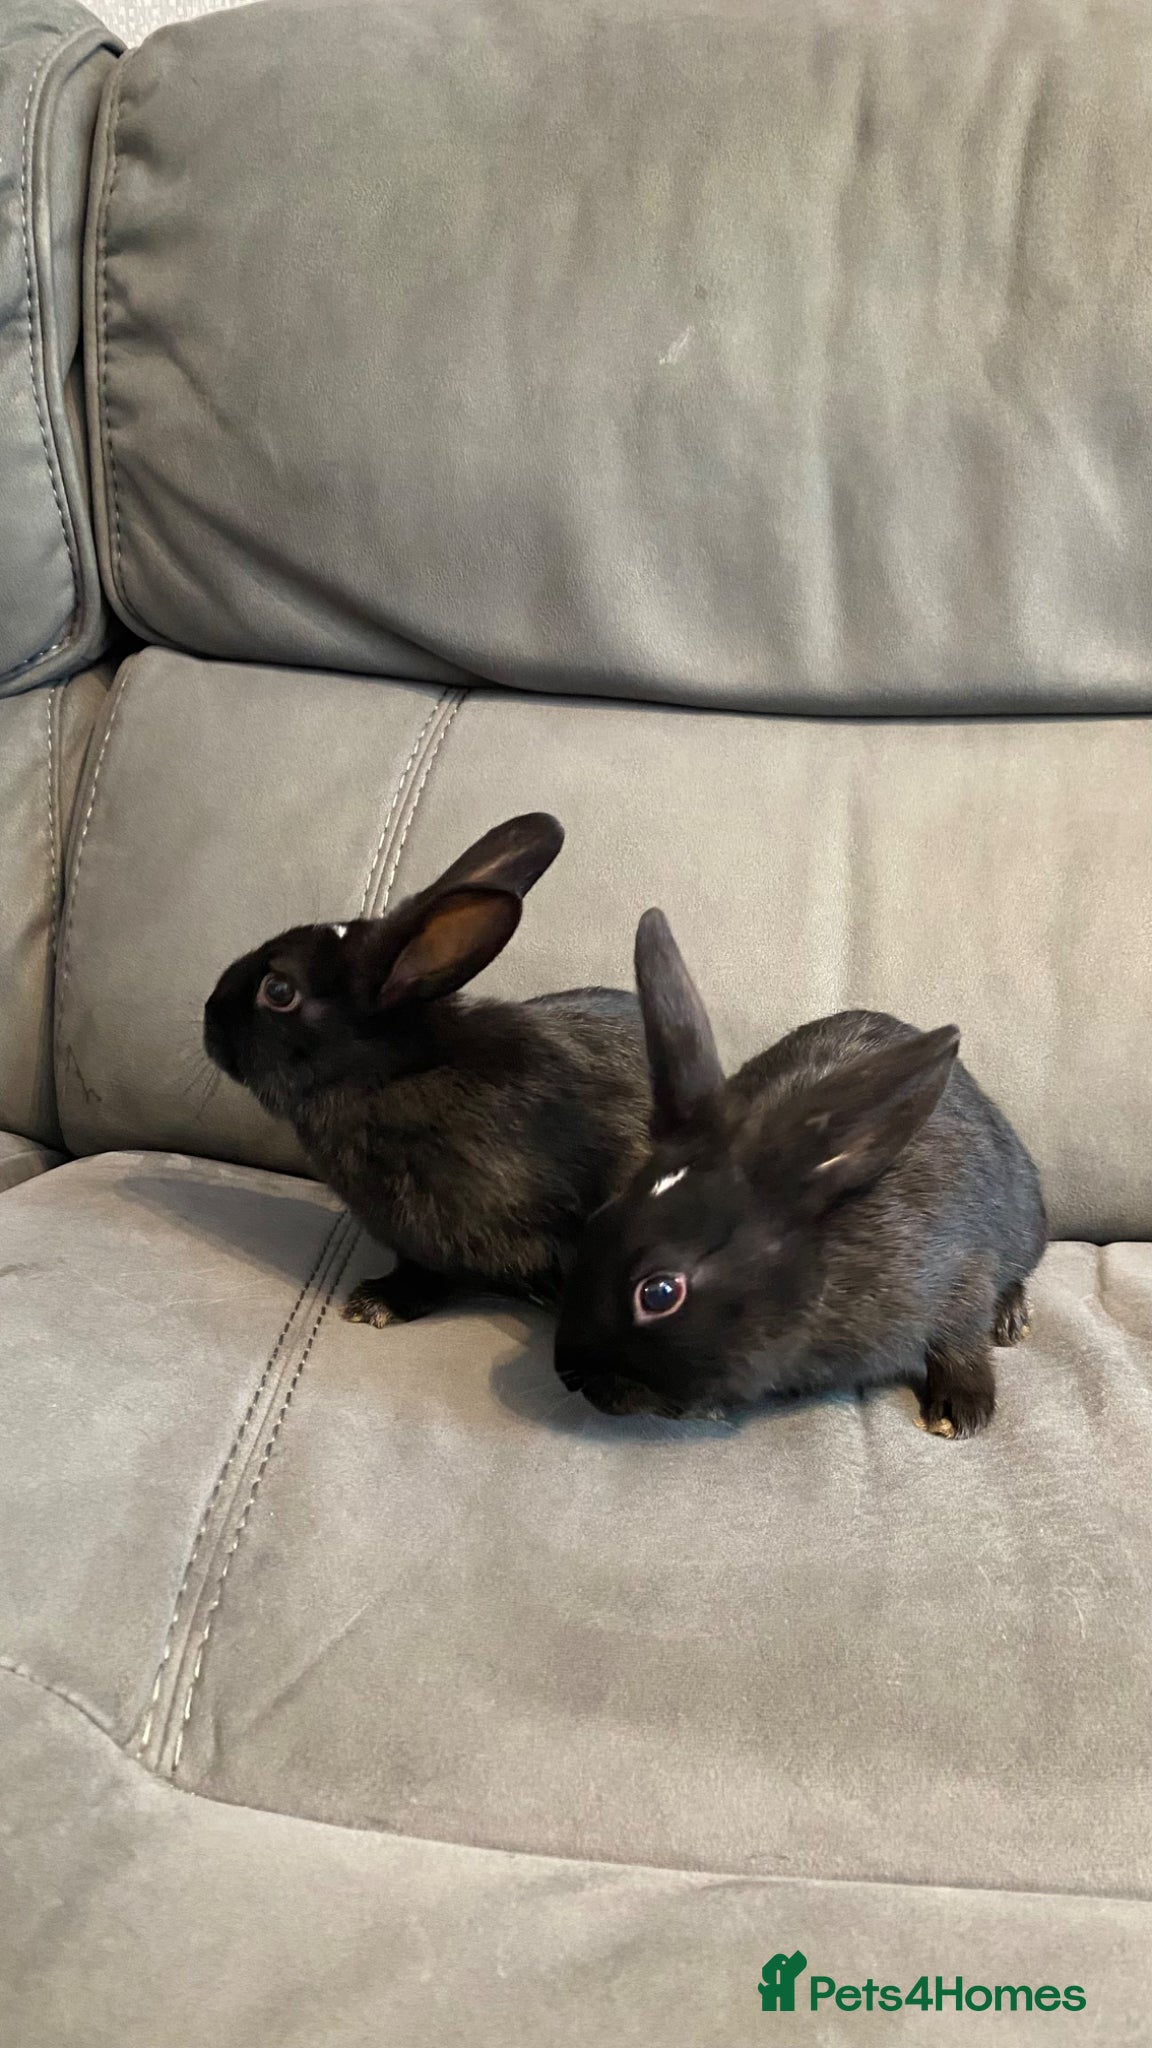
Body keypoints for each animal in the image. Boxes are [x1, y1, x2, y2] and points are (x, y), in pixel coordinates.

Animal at [554, 908, 1047, 1436]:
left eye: (660, 1292)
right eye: (596, 1221)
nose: (569, 1375)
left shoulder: (960, 1277)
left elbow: (960, 1341)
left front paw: (960, 1411)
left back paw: (1011, 1320)